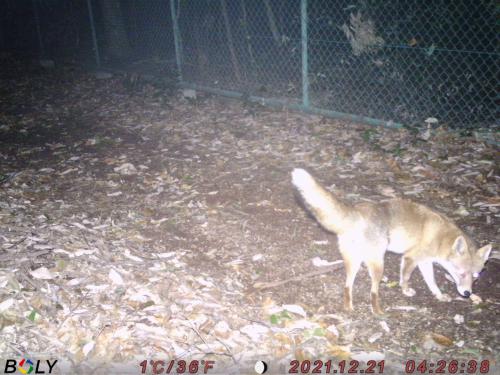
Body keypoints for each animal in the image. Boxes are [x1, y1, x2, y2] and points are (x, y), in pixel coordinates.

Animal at [292, 169, 492, 316]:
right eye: (461, 273)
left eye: (475, 276)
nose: (467, 293)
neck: (441, 238)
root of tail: (357, 210)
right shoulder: (411, 258)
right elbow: (406, 278)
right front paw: (406, 291)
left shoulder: (425, 262)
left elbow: (432, 283)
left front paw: (440, 296)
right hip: (378, 264)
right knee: (373, 292)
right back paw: (378, 311)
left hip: (354, 262)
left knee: (347, 287)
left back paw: (349, 308)